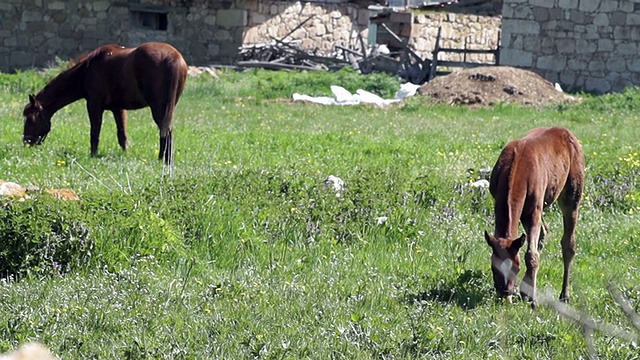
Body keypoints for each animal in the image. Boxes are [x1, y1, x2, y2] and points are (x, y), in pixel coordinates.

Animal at [23, 42, 188, 165]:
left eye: (31, 119)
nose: (26, 142)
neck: (87, 70)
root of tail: (172, 56)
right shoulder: (118, 109)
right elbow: (122, 135)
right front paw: (125, 154)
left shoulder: (94, 106)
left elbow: (95, 133)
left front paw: (93, 155)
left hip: (159, 108)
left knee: (165, 131)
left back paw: (164, 160)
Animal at [484, 126, 584, 306]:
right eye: (494, 268)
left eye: (516, 267)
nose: (505, 297)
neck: (517, 165)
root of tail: (566, 131)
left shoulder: (533, 213)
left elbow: (531, 255)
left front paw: (532, 300)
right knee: (544, 232)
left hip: (571, 197)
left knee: (568, 244)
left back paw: (564, 295)